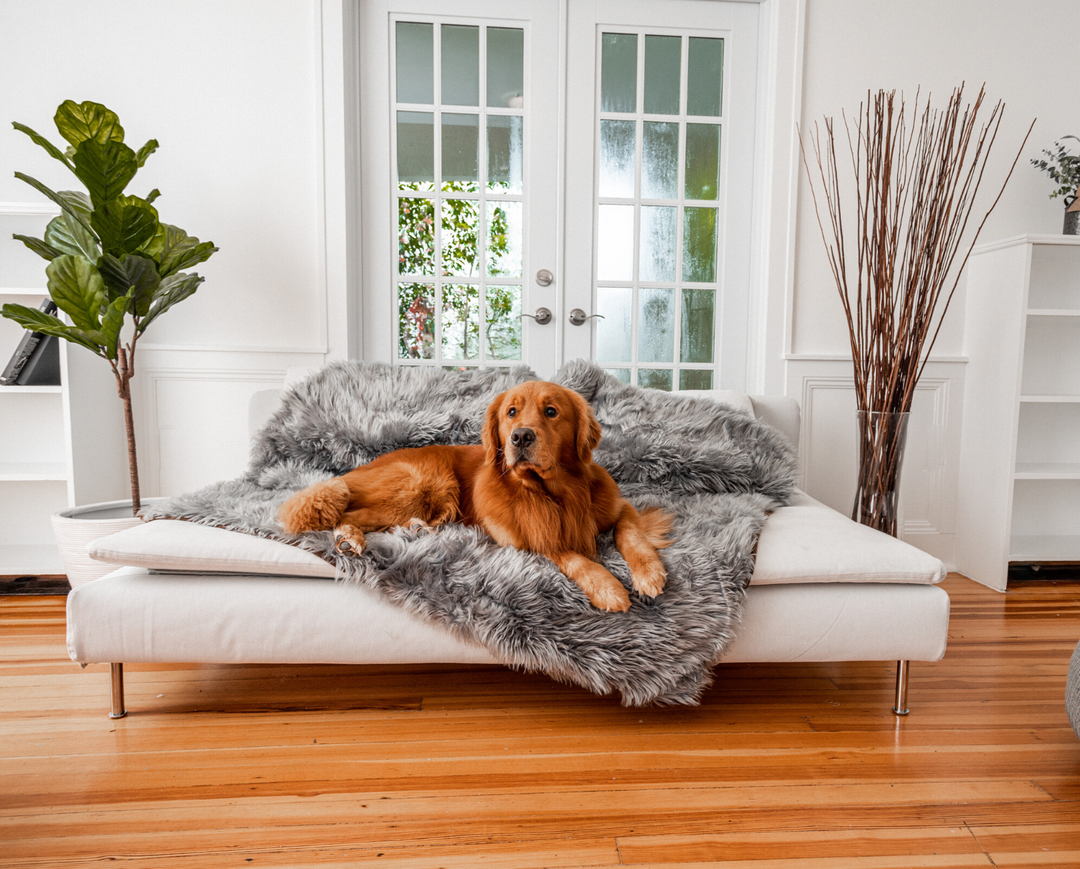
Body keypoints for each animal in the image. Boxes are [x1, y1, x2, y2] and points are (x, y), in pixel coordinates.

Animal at [274, 379, 669, 608]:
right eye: (511, 412)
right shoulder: (528, 542)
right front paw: (608, 587)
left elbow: (630, 535)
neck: (552, 492)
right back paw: (350, 537)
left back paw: (411, 530)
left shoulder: (621, 508)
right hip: (424, 483)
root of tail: (361, 467)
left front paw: (649, 573)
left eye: (551, 411)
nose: (521, 436)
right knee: (348, 513)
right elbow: (572, 556)